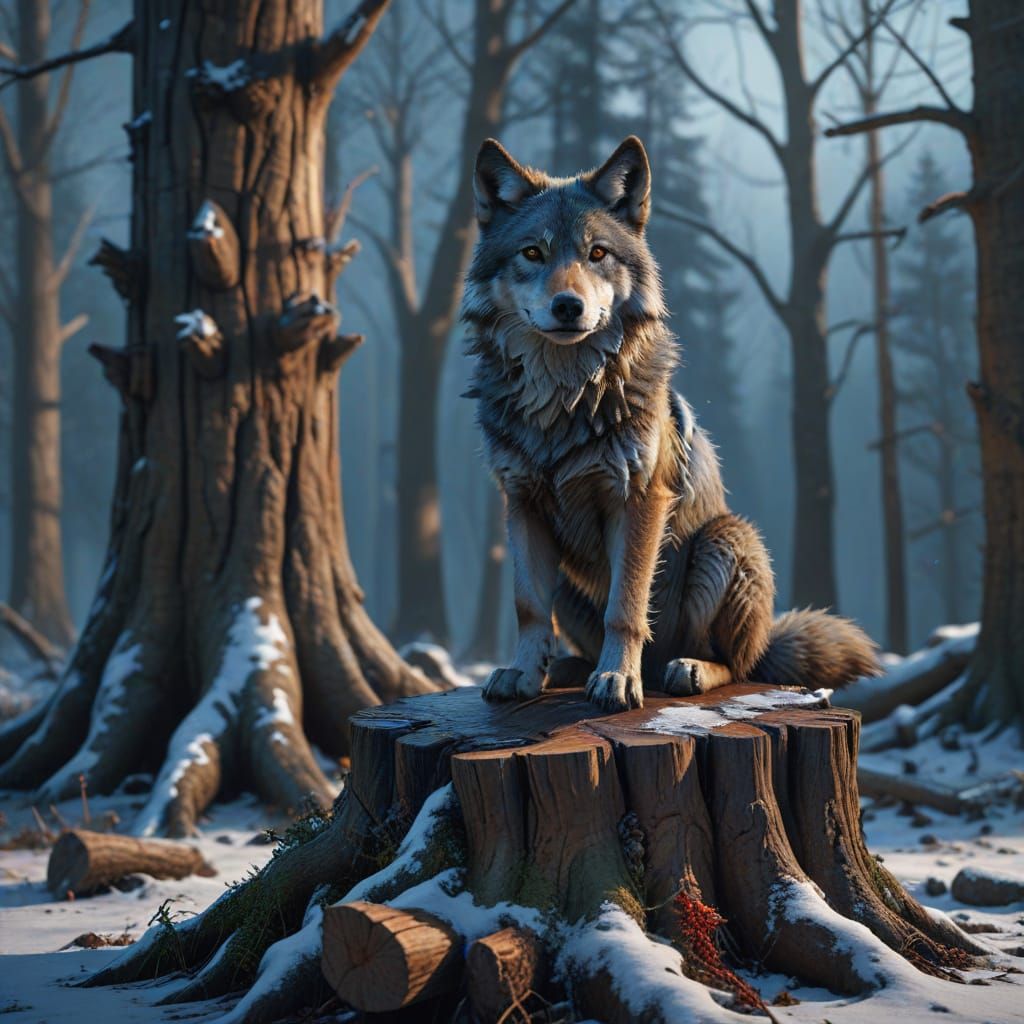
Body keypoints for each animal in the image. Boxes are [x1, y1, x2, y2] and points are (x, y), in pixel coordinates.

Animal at [462, 135, 880, 713]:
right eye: (532, 253)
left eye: (597, 254)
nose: (568, 306)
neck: (564, 399)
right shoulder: (522, 504)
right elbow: (528, 607)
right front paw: (522, 675)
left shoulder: (641, 500)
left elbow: (625, 606)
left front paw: (618, 680)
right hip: (571, 579)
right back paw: (568, 669)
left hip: (726, 539)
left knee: (733, 664)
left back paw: (682, 670)